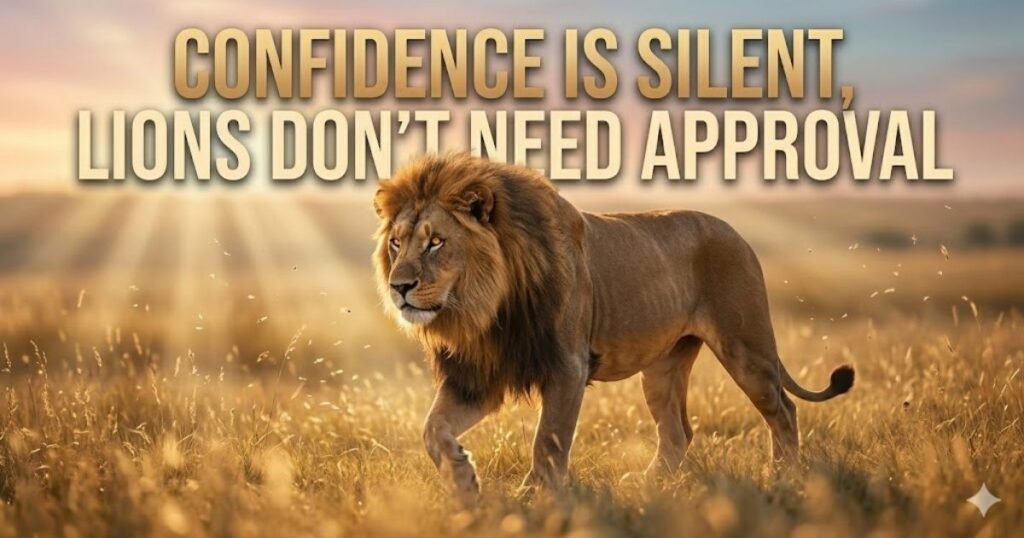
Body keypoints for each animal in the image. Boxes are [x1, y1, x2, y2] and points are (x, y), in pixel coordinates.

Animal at [373, 153, 854, 504]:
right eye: (396, 243)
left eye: (436, 242)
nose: (399, 287)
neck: (488, 309)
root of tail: (737, 232)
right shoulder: (481, 376)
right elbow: (432, 430)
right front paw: (463, 481)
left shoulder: (567, 367)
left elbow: (548, 440)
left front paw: (536, 496)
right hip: (662, 369)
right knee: (678, 432)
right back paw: (649, 483)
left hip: (746, 347)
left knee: (783, 409)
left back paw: (784, 476)